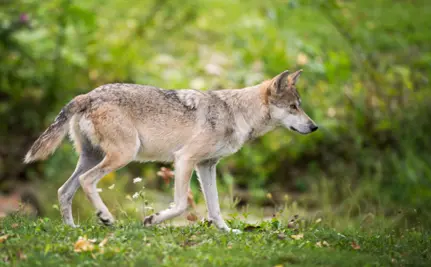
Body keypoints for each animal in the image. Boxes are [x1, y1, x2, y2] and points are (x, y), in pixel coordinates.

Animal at [24, 70, 320, 233]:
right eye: (294, 107)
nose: (315, 126)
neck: (235, 113)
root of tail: (88, 95)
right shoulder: (185, 159)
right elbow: (179, 205)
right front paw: (151, 220)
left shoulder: (207, 166)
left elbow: (215, 208)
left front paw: (227, 231)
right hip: (122, 156)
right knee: (86, 182)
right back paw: (106, 218)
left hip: (92, 158)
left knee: (64, 191)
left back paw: (72, 229)